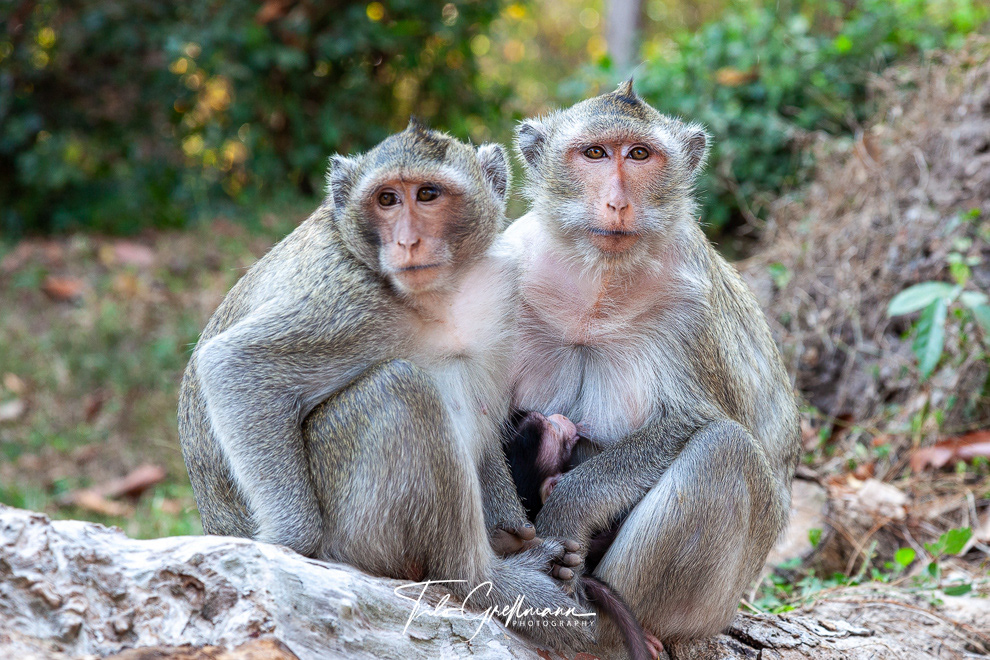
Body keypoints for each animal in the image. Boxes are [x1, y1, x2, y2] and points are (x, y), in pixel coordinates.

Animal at [177, 119, 592, 649]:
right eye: (387, 199)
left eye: (428, 194)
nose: (407, 242)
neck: (438, 295)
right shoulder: (347, 301)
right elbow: (235, 365)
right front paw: (286, 543)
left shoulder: (499, 287)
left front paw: (513, 526)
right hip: (354, 533)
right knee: (402, 389)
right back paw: (483, 579)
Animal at [498, 80, 802, 649]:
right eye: (595, 154)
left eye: (639, 155)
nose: (618, 202)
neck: (598, 285)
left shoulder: (691, 305)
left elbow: (692, 419)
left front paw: (567, 511)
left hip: (720, 597)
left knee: (724, 449)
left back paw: (606, 628)